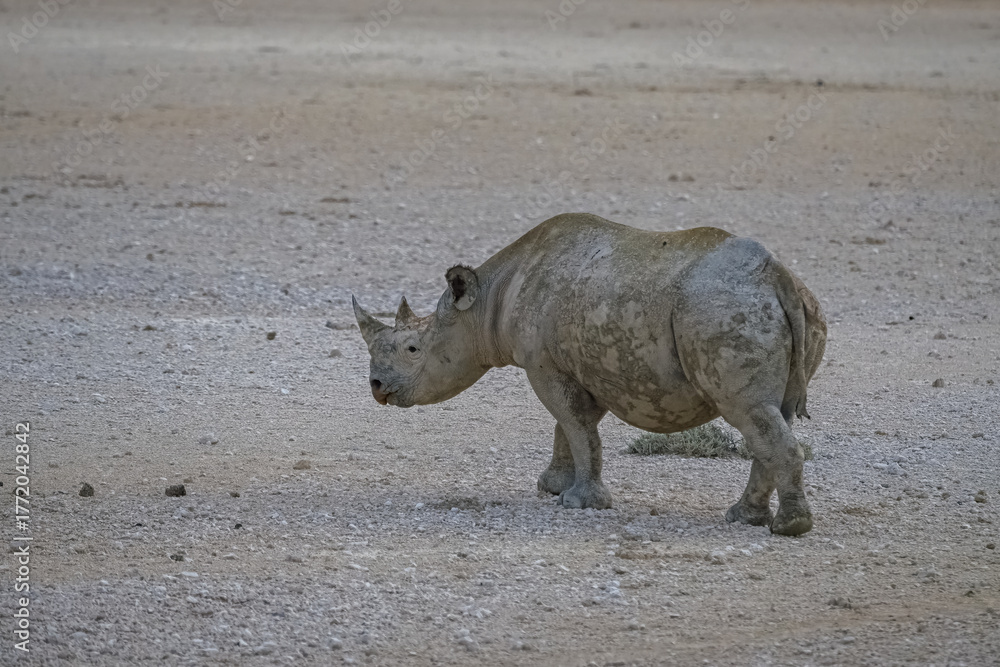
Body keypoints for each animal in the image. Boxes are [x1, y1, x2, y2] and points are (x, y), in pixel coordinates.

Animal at [353, 213, 826, 536]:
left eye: (413, 349)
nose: (376, 387)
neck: (486, 301)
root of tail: (778, 277)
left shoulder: (543, 364)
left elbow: (574, 424)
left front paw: (580, 503)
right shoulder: (584, 367)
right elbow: (572, 426)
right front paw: (552, 486)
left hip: (722, 312)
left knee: (747, 411)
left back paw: (788, 528)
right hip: (798, 309)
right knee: (767, 417)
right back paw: (745, 518)